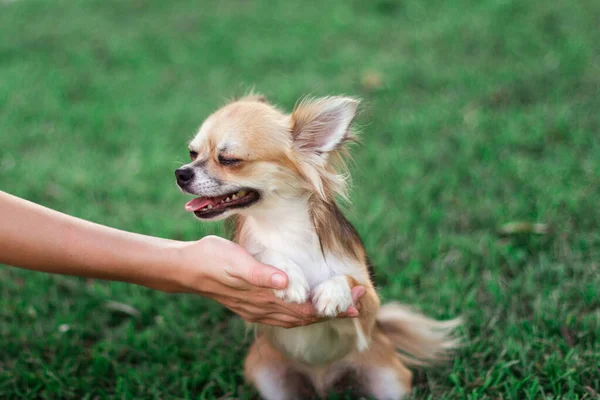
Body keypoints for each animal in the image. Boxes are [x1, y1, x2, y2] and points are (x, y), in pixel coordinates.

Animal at [173, 94, 460, 400]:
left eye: (229, 160)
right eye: (192, 154)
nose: (181, 173)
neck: (281, 224)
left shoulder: (369, 306)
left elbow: (348, 280)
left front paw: (333, 293)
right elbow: (263, 251)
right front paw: (289, 279)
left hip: (388, 378)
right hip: (270, 378)